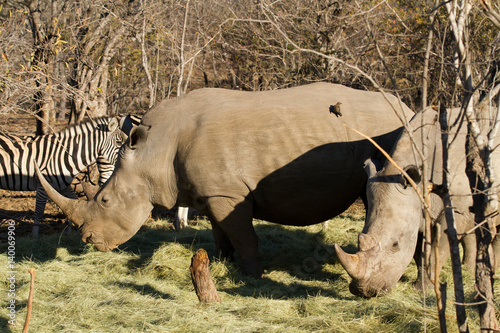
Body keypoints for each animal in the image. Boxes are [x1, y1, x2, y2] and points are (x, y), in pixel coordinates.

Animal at [36, 82, 414, 274]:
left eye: (104, 199)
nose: (88, 240)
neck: (152, 151)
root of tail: (407, 107)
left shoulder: (228, 193)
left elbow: (244, 237)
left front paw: (250, 276)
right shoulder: (213, 193)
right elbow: (221, 232)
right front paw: (219, 263)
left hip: (390, 136)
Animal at [336, 105, 500, 296]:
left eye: (395, 245)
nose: (364, 292)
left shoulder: (451, 209)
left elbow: (439, 249)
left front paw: (424, 291)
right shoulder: (417, 211)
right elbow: (420, 252)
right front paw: (422, 289)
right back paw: (473, 271)